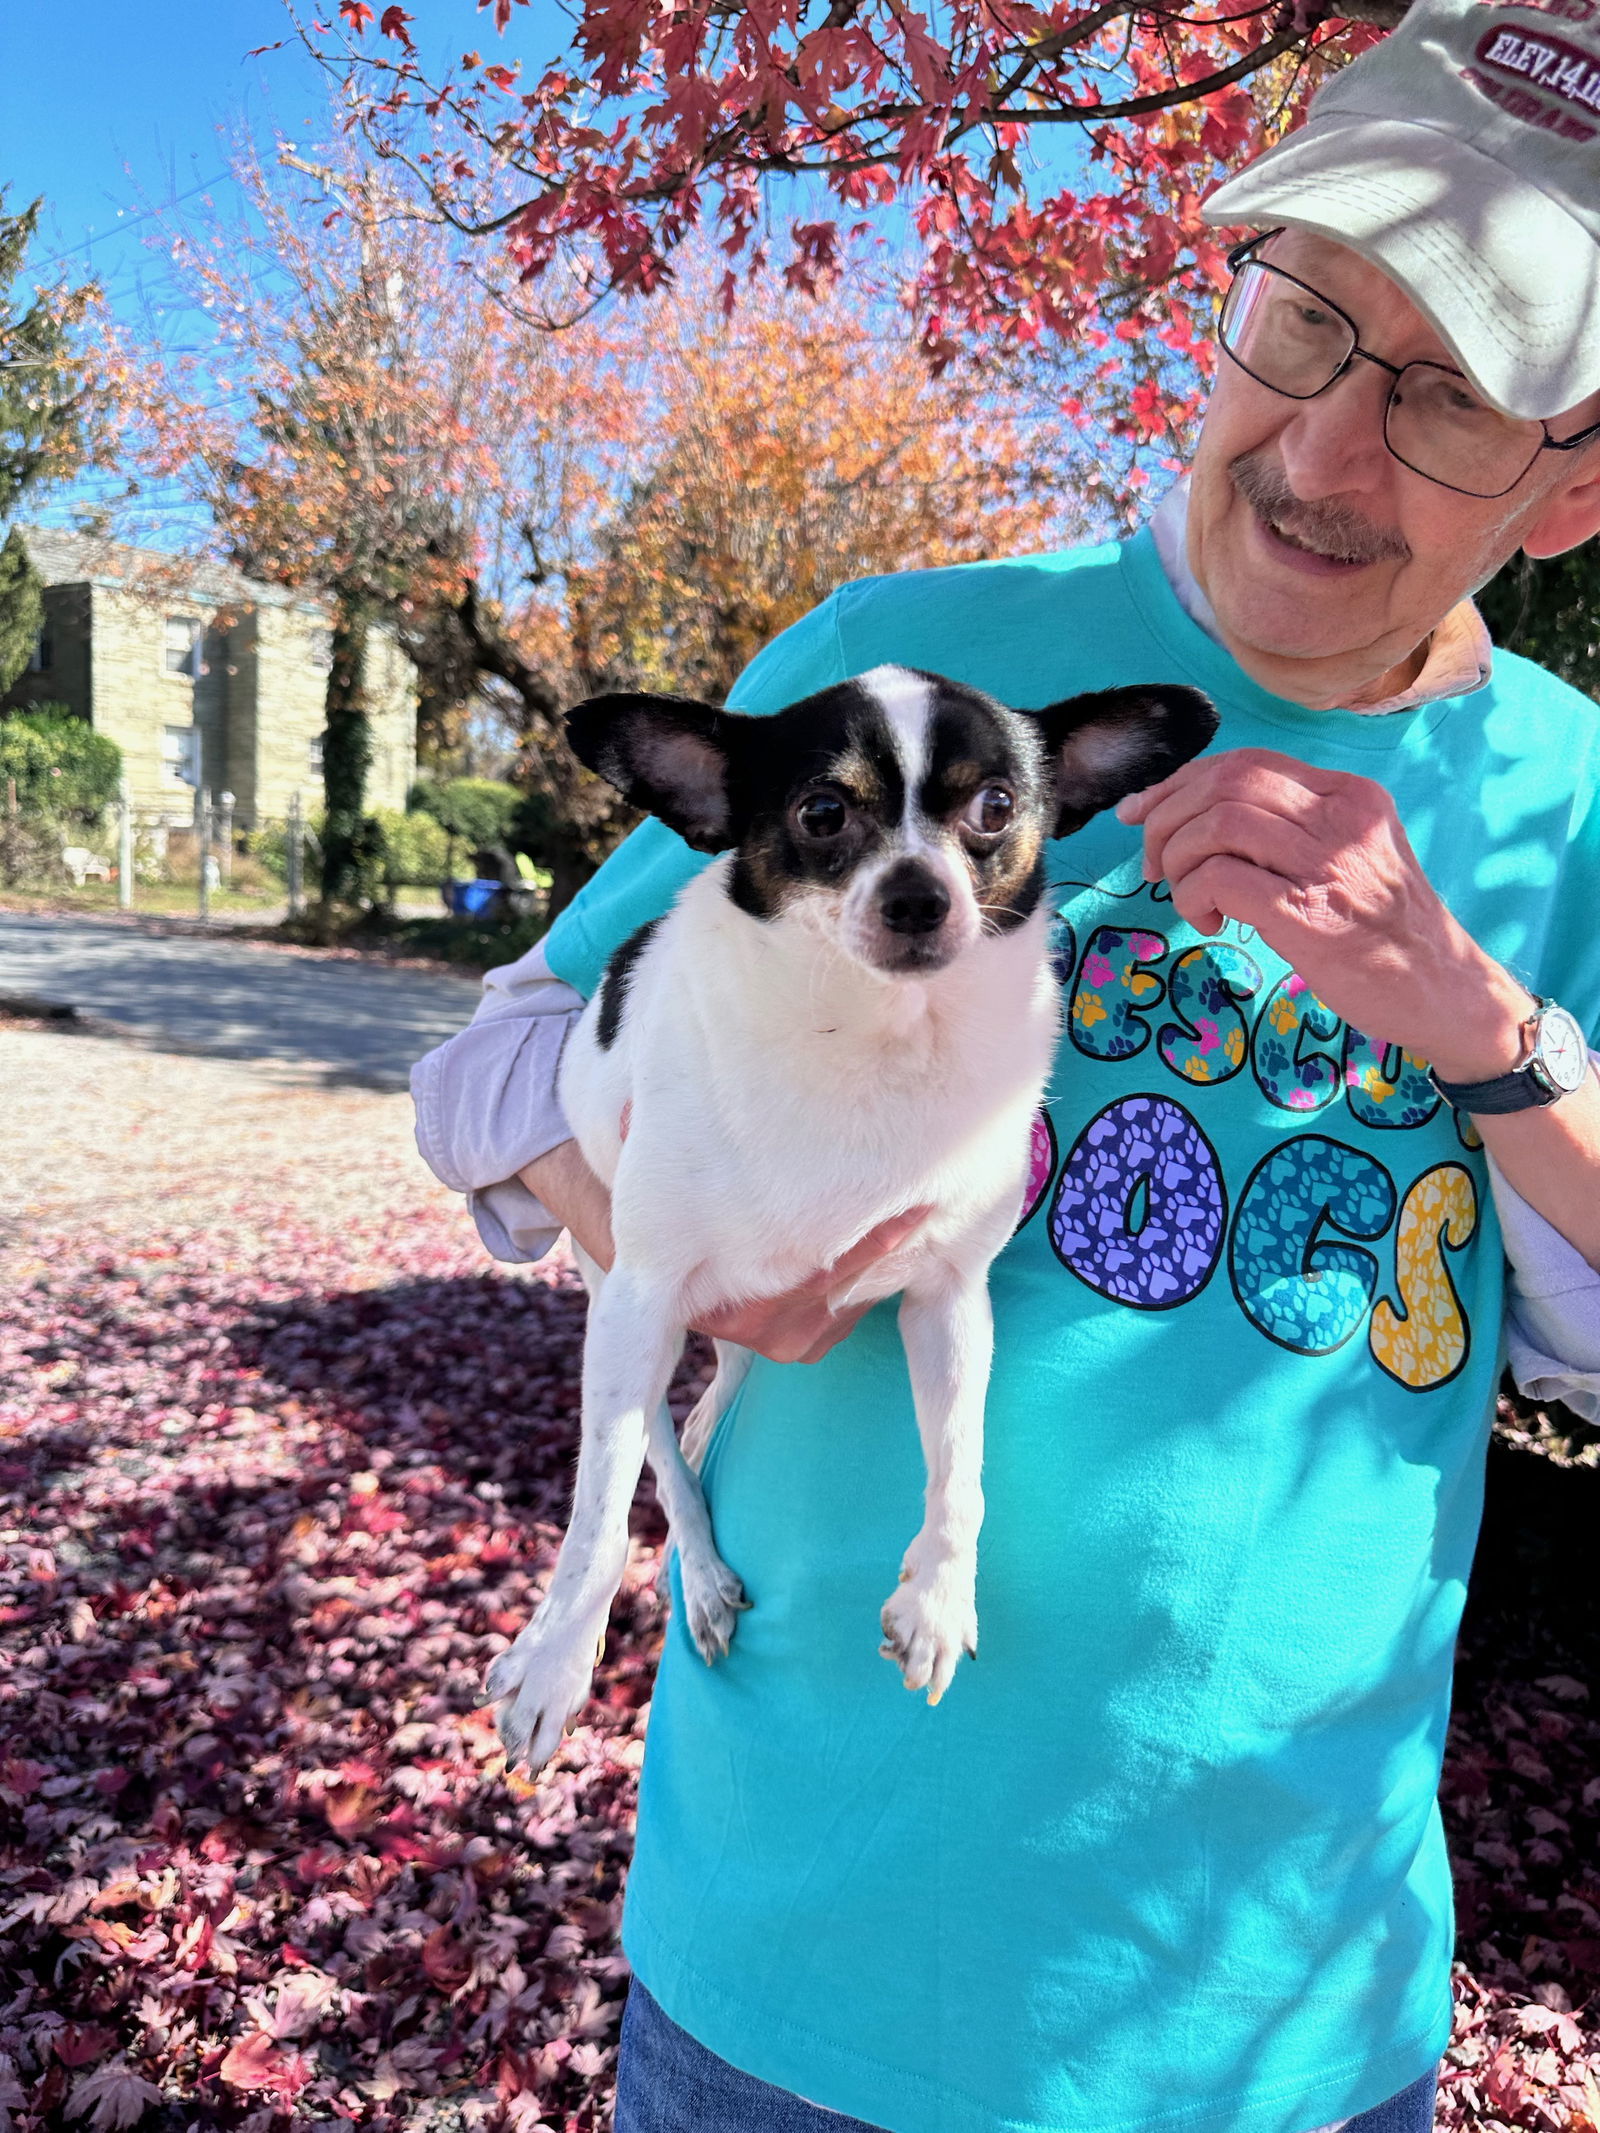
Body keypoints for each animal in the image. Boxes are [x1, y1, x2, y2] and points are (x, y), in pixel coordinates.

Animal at [488, 661, 1211, 1766]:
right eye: (822, 813)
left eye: (996, 807)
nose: (919, 896)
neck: (873, 1035)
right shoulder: (642, 1296)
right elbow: (598, 1510)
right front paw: (558, 1657)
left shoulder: (949, 1302)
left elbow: (961, 1464)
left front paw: (939, 1599)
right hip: (615, 1300)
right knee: (657, 1456)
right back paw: (697, 1578)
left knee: (707, 1402)